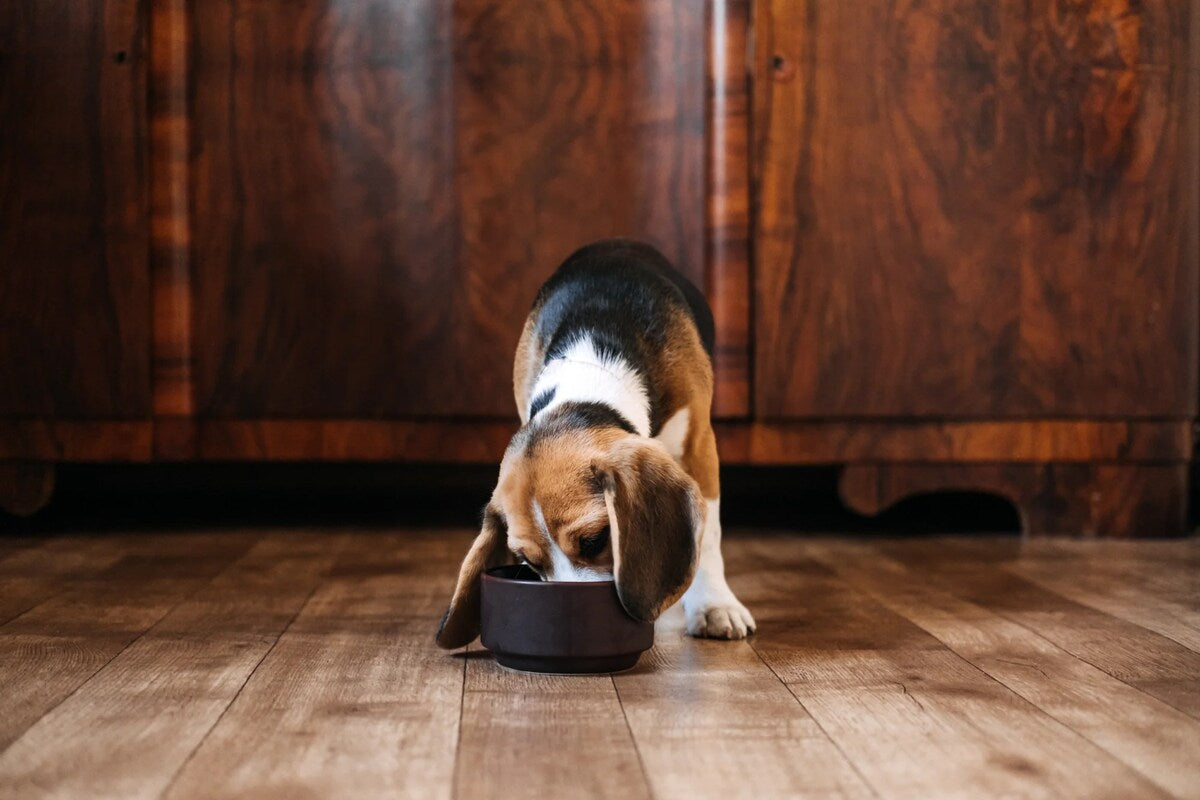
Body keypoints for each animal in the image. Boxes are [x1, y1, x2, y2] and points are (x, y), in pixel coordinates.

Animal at [436, 239, 753, 652]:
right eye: (528, 563)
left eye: (595, 540)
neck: (593, 364)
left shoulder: (698, 446)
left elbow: (710, 535)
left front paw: (714, 605)